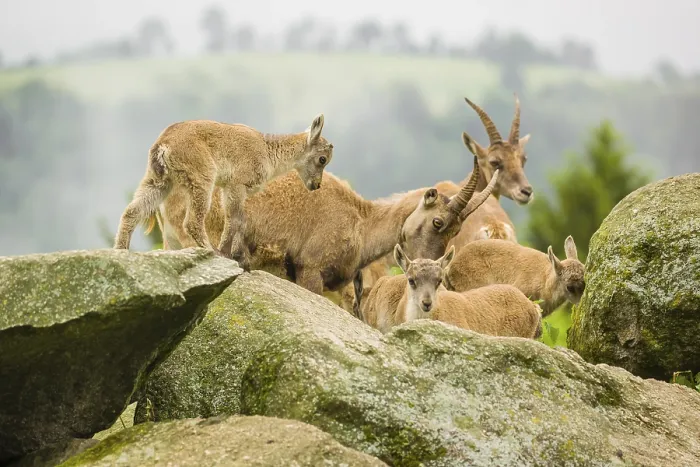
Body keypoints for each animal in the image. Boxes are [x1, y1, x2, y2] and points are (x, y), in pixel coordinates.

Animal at [113, 114, 333, 270]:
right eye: (322, 159)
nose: (316, 185)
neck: (268, 151)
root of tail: (163, 145)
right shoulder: (236, 184)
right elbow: (236, 219)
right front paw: (230, 254)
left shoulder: (228, 187)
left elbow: (238, 220)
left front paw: (235, 255)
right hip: (201, 178)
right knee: (192, 221)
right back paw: (212, 251)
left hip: (160, 181)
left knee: (132, 212)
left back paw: (121, 251)